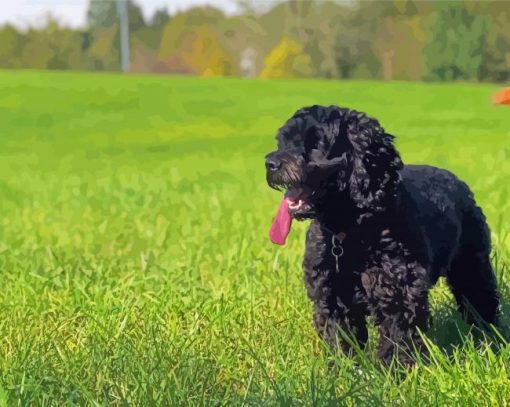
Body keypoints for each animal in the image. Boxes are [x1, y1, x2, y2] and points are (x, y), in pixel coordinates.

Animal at [264, 105, 500, 366]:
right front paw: (343, 369)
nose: (270, 163)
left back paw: (490, 339)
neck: (350, 231)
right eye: (282, 142)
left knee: (482, 302)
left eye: (316, 144)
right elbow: (339, 339)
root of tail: (459, 182)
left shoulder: (399, 295)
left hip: (471, 267)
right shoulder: (333, 297)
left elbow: (398, 339)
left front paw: (395, 371)